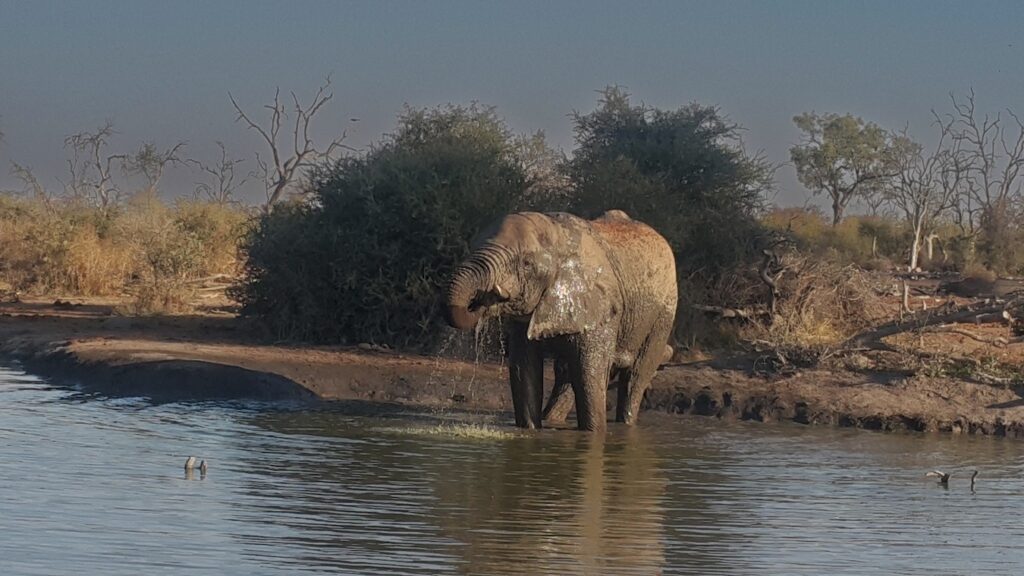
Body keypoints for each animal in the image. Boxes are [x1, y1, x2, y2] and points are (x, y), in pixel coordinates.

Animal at [444, 210, 678, 431]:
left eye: (526, 264)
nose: (483, 298)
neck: (559, 236)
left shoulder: (599, 309)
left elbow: (589, 375)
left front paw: (594, 433)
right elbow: (524, 372)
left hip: (664, 311)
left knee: (636, 376)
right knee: (565, 373)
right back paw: (552, 419)